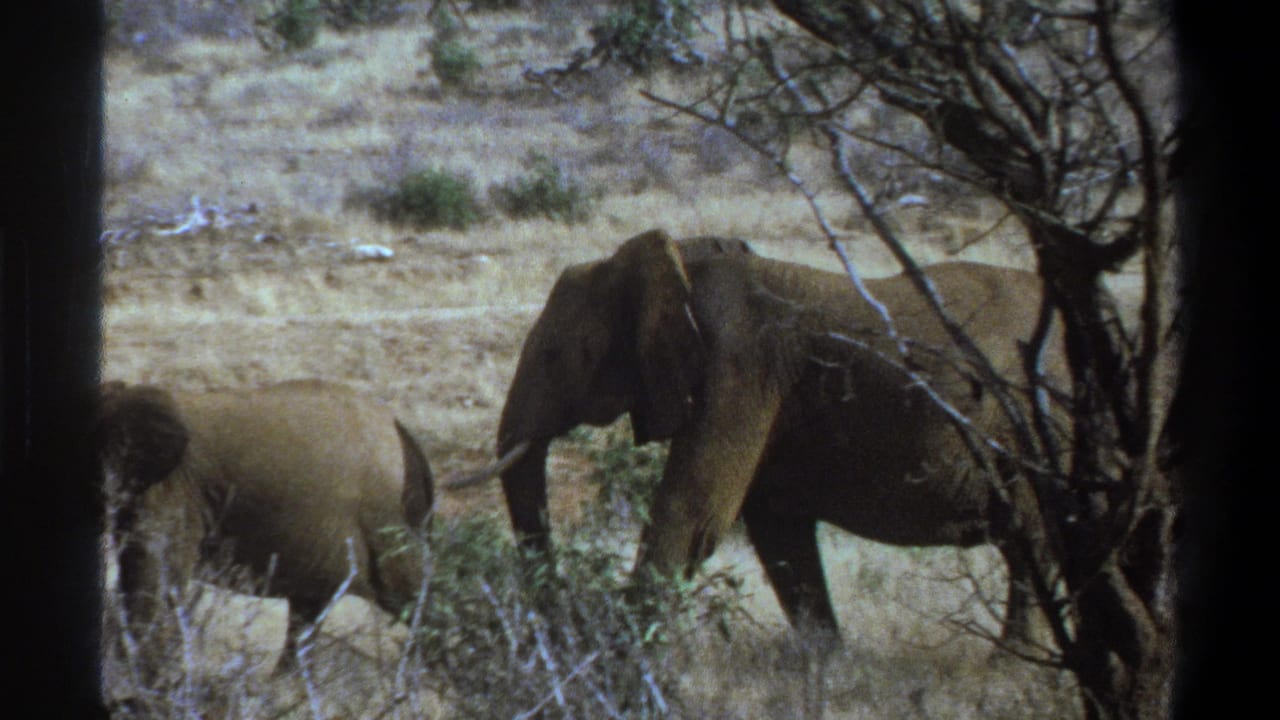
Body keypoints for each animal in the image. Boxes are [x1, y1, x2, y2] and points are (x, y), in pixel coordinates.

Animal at [489, 229, 1068, 644]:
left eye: (554, 356)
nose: (561, 621)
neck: (681, 264)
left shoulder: (739, 368)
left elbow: (691, 511)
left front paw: (618, 666)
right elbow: (778, 530)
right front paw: (826, 667)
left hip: (1041, 431)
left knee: (1032, 551)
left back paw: (1006, 666)